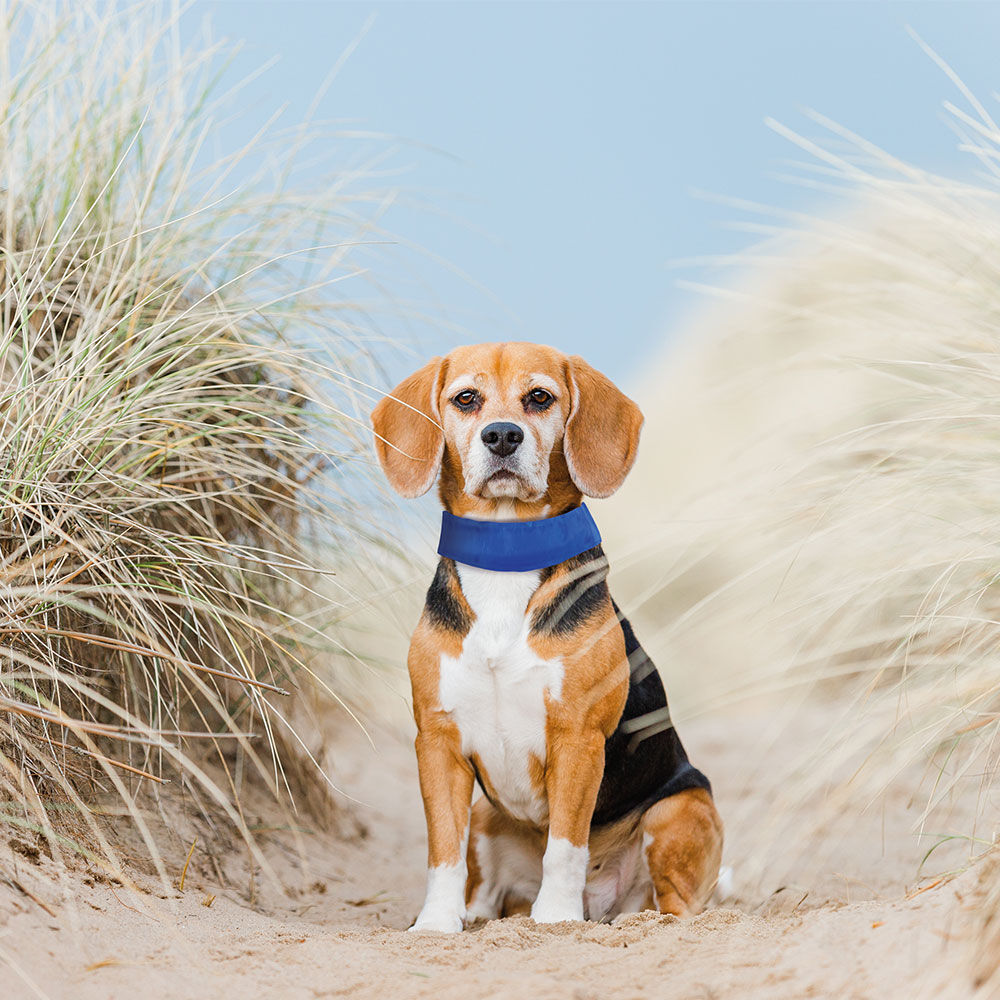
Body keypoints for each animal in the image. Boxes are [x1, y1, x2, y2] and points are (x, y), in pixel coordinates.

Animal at [372, 342, 724, 928]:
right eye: (466, 398)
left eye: (540, 397)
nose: (502, 435)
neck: (506, 556)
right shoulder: (437, 740)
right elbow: (442, 848)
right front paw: (436, 923)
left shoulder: (577, 738)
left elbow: (564, 846)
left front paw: (556, 918)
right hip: (485, 815)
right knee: (486, 884)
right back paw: (478, 915)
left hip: (678, 809)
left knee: (674, 904)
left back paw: (632, 918)